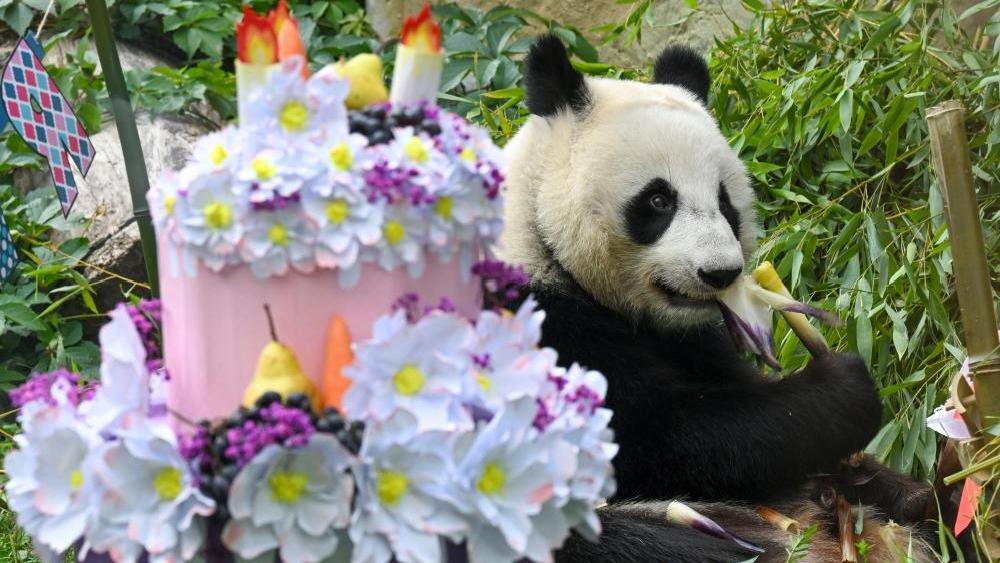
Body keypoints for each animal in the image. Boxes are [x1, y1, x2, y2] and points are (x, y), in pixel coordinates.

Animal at [498, 36, 937, 562]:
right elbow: (650, 437)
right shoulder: (535, 327)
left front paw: (880, 473)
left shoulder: (696, 341)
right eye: (659, 200)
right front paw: (844, 391)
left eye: (725, 201)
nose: (720, 272)